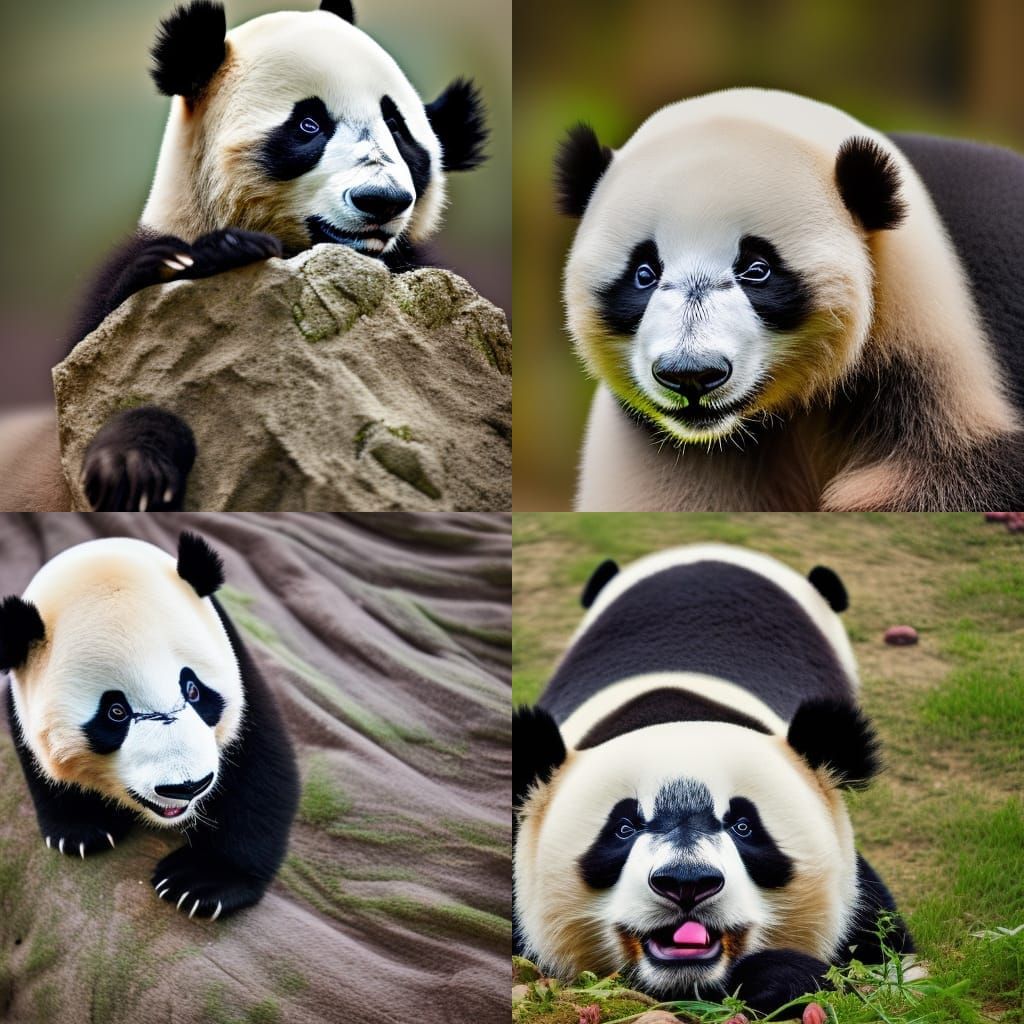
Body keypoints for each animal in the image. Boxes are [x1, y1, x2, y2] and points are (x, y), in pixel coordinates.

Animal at [0, 531, 299, 920]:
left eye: (193, 689)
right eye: (115, 712)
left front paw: (202, 881)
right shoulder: (20, 690)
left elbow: (258, 765)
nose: (186, 786)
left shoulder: (233, 658)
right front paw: (83, 827)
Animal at [513, 544, 914, 1014]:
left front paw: (779, 978)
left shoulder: (857, 895)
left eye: (743, 826)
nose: (686, 883)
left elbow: (890, 968)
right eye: (623, 828)